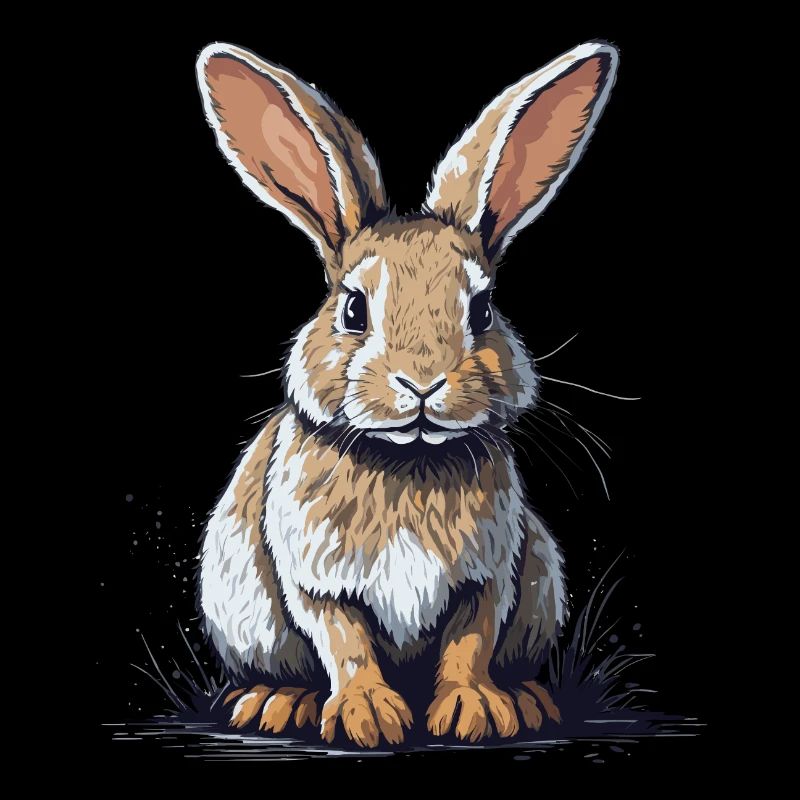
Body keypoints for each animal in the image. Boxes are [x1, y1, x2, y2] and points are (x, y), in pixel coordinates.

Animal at [196, 40, 618, 746]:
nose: (423, 383)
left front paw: (476, 712)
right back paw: (275, 702)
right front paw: (367, 716)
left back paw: (529, 698)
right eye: (353, 309)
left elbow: (468, 642)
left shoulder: (489, 578)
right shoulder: (317, 581)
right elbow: (346, 642)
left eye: (482, 310)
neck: (407, 459)